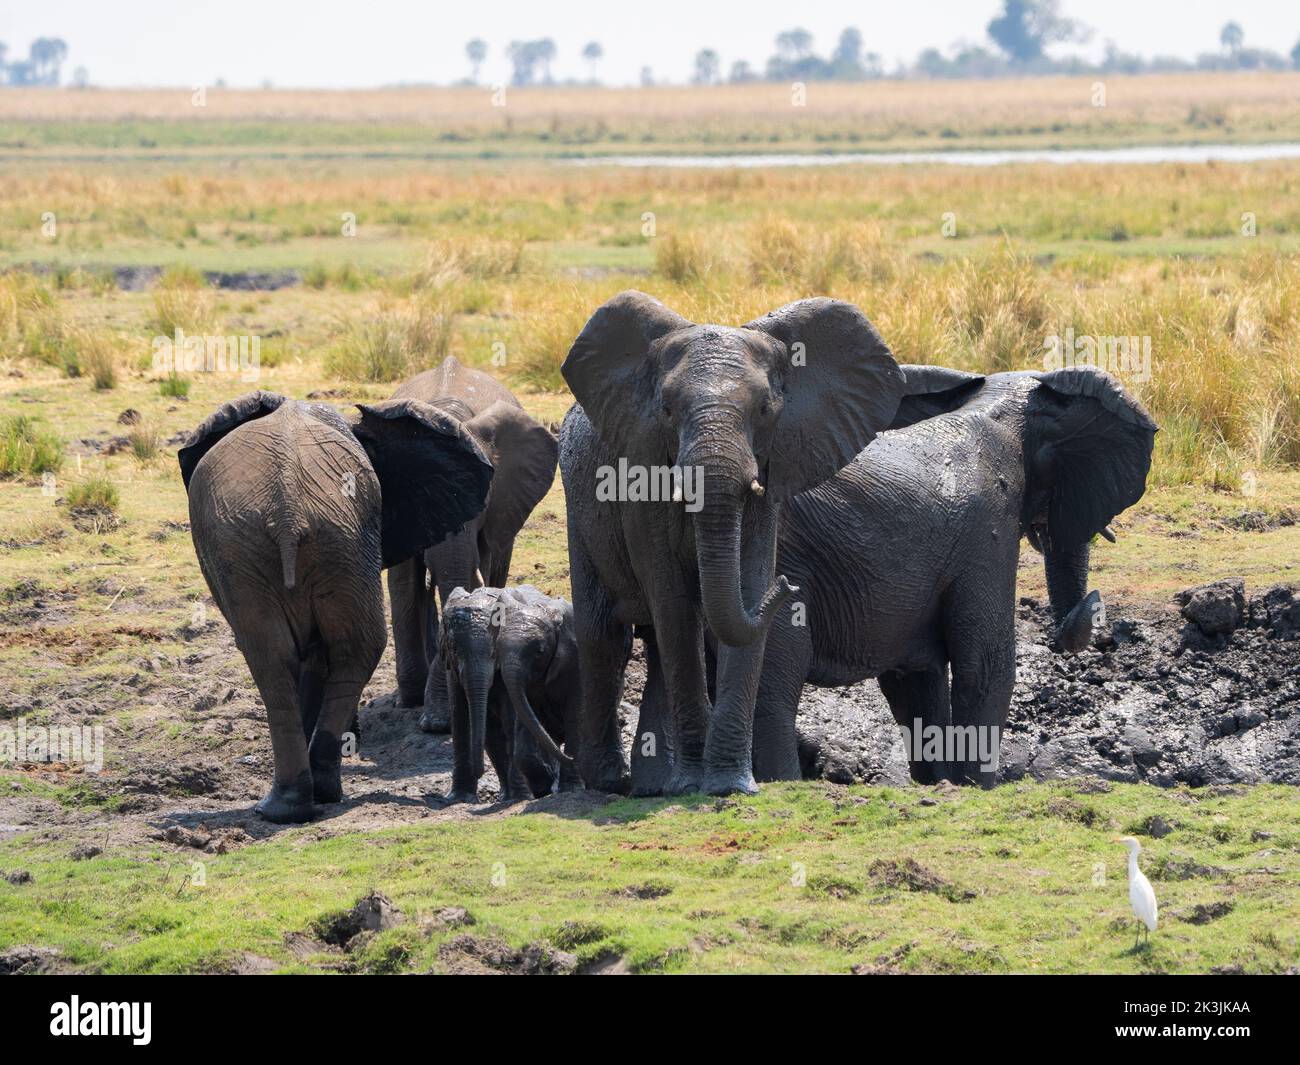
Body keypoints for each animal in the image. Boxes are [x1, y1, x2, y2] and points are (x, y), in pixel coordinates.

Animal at [178, 392, 491, 827]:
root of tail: (288, 509)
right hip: (314, 543)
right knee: (340, 648)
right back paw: (309, 796)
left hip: (303, 543)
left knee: (283, 655)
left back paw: (290, 804)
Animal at [436, 587, 579, 806]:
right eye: (454, 647)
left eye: (494, 651)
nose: (479, 772)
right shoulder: (451, 667)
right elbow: (461, 715)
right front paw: (458, 799)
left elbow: (510, 718)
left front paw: (521, 798)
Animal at [559, 293, 904, 801]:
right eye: (666, 409)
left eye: (764, 409)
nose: (788, 586)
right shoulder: (642, 471)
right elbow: (672, 601)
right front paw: (691, 786)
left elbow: (745, 585)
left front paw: (729, 785)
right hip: (577, 504)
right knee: (604, 637)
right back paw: (610, 783)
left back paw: (651, 785)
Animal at [754, 369, 1159, 790]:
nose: (1095, 600)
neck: (997, 408)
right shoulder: (989, 528)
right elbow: (987, 666)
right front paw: (975, 787)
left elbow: (915, 681)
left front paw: (940, 783)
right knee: (776, 682)